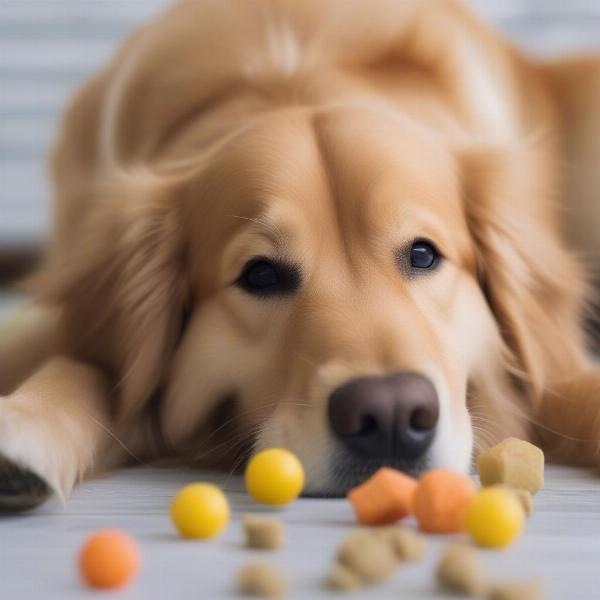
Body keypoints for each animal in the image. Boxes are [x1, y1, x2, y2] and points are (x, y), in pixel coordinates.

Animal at [1, 0, 600, 510]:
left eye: (424, 255)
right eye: (260, 275)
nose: (390, 413)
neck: (294, 79)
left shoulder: (552, 363)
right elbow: (80, 364)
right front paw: (26, 421)